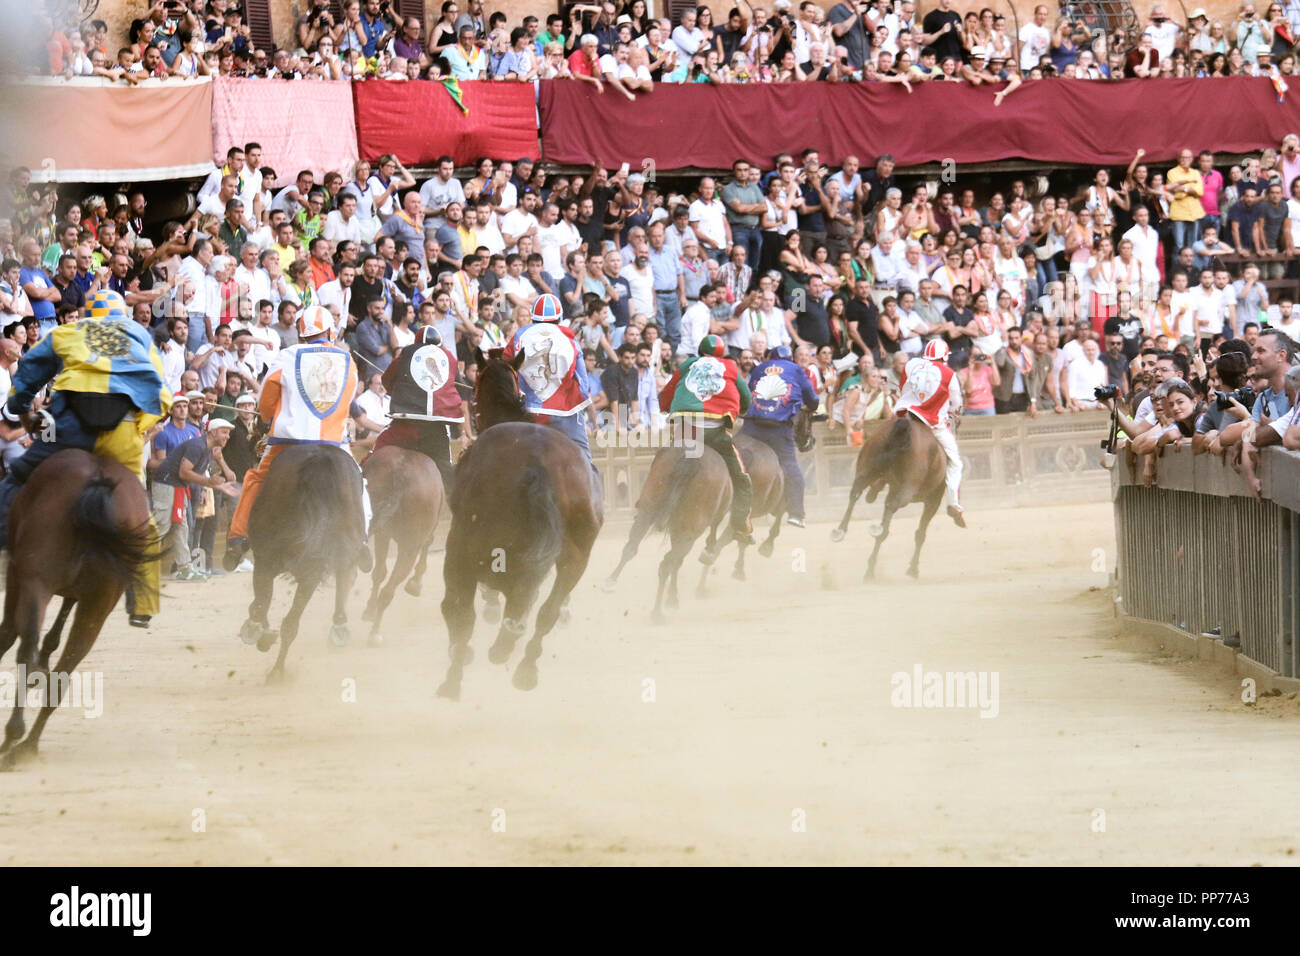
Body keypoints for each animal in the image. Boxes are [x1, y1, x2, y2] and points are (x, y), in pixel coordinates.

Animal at [0, 450, 153, 770]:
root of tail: (97, 481)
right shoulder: (76, 593)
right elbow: (55, 632)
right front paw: (44, 661)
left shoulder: (18, 575)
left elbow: (7, 634)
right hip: (99, 603)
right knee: (65, 671)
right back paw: (26, 746)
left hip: (35, 581)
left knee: (24, 648)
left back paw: (11, 737)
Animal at [235, 444, 364, 686]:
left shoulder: (265, 562)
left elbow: (259, 605)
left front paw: (261, 633)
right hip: (322, 562)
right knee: (292, 623)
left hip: (273, 560)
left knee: (275, 614)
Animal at [361, 447, 447, 642]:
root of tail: (401, 474)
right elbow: (428, 544)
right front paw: (415, 583)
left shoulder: (383, 534)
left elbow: (378, 573)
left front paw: (369, 609)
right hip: (409, 546)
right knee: (389, 589)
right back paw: (375, 633)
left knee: (381, 577)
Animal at [434, 348, 600, 697]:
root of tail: (538, 466)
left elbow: (458, 610)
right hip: (576, 556)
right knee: (545, 611)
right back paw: (523, 667)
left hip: (465, 549)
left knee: (461, 610)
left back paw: (466, 671)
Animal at [832, 413, 946, 580]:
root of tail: (903, 427)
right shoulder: (934, 500)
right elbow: (920, 534)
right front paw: (913, 569)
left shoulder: (892, 488)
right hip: (908, 489)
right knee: (893, 507)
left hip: (866, 466)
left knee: (855, 492)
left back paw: (841, 531)